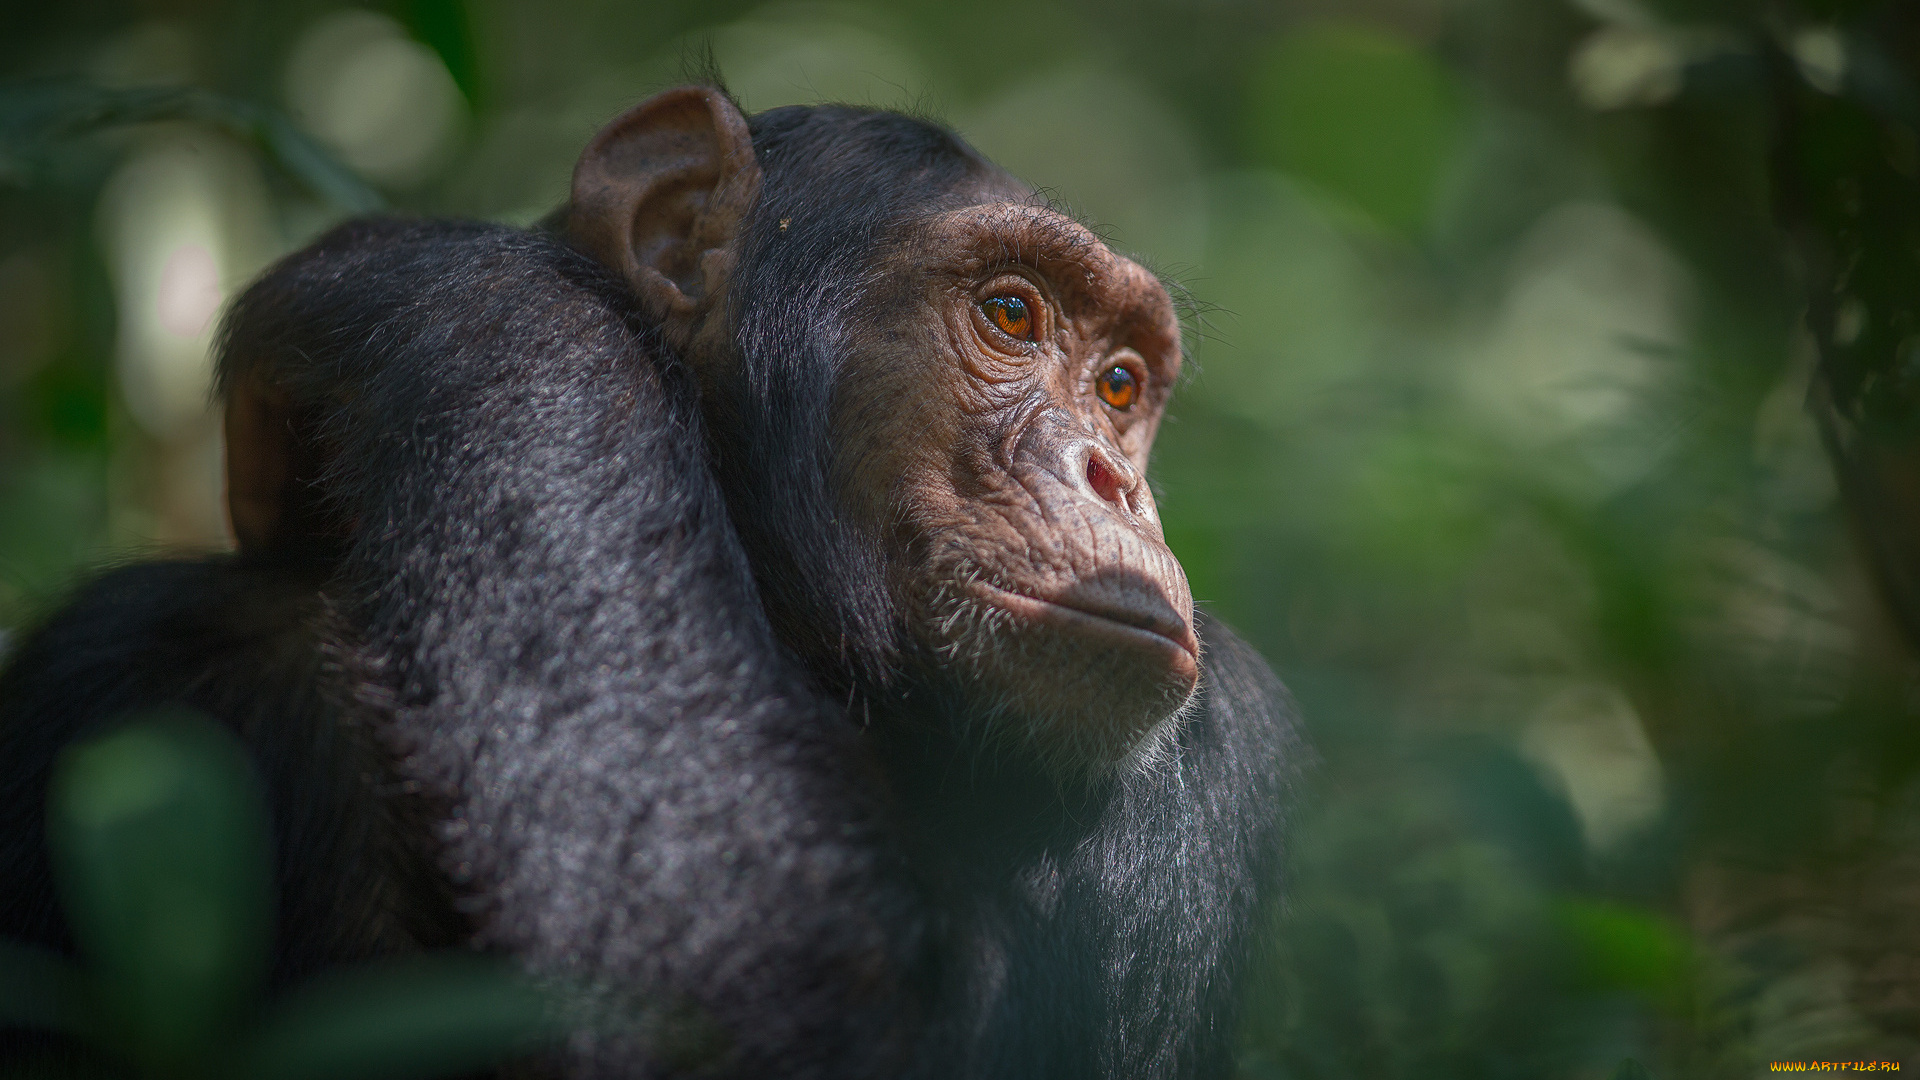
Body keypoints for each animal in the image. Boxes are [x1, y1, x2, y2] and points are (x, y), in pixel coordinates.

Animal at [0, 85, 1305, 1076]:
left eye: (1121, 385)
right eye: (1011, 313)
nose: (1111, 478)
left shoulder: (1218, 745)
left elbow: (791, 979)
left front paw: (429, 280)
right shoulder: (128, 666)